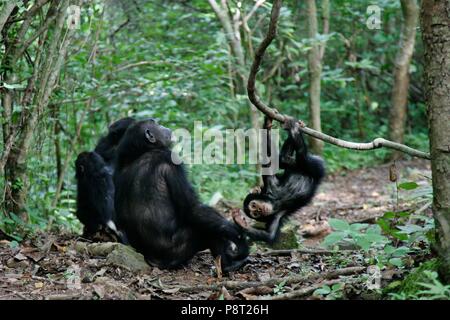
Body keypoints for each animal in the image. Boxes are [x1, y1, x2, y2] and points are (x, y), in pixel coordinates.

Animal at [113, 119, 250, 272]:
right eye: (156, 124)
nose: (164, 126)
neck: (141, 152)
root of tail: (153, 262)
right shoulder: (171, 159)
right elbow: (192, 208)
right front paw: (238, 237)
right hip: (179, 251)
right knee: (207, 229)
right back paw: (229, 265)